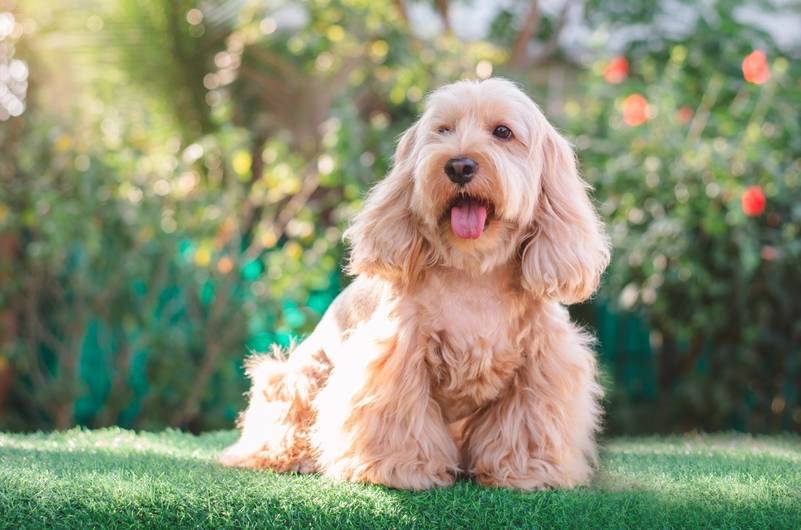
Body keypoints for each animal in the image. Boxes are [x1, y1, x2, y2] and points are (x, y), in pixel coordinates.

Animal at [219, 77, 608, 486]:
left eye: (503, 132)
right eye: (443, 130)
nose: (459, 165)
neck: (474, 271)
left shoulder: (541, 362)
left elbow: (526, 422)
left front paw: (528, 471)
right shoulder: (396, 356)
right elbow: (400, 417)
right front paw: (402, 468)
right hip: (301, 375)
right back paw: (292, 456)